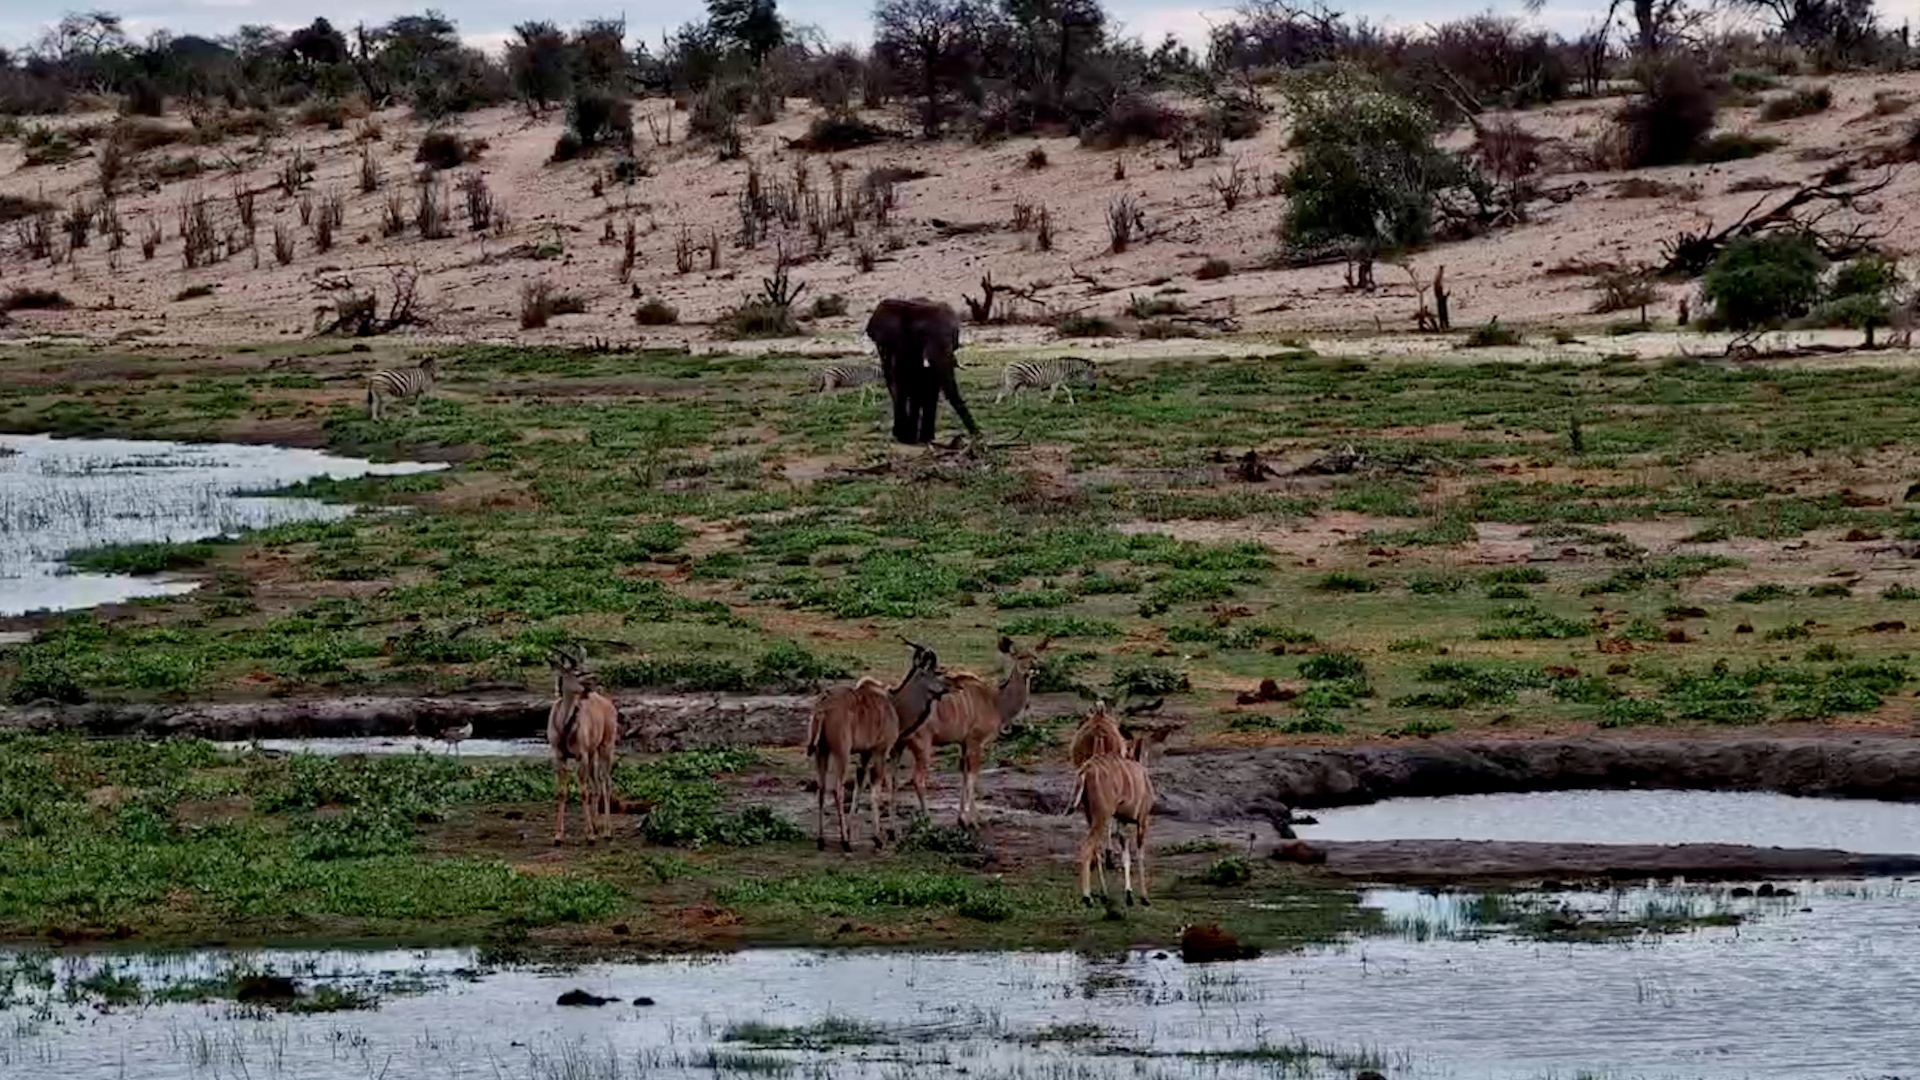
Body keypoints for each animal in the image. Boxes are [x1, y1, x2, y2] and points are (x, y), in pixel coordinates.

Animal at [865, 298, 979, 445]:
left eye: (955, 334)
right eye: (921, 333)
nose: (977, 433)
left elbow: (930, 388)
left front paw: (926, 438)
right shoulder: (900, 348)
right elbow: (904, 385)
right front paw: (907, 439)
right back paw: (902, 435)